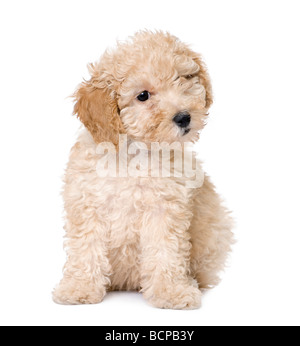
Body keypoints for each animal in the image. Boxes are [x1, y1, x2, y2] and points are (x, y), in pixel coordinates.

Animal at [52, 31, 233, 310]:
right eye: (143, 96)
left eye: (183, 79)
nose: (184, 117)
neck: (133, 155)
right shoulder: (87, 205)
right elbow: (86, 250)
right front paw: (79, 288)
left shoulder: (165, 210)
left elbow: (165, 252)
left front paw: (171, 292)